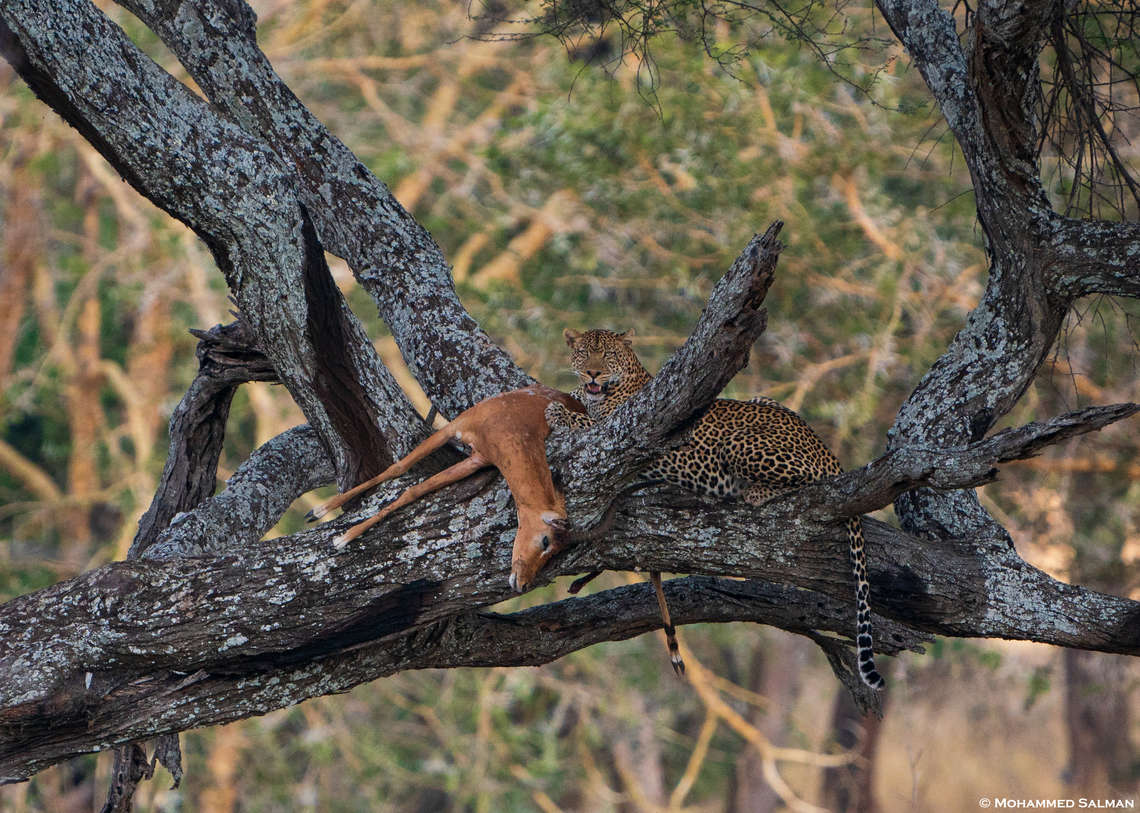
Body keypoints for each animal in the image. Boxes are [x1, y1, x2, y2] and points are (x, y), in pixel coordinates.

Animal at [546, 327, 885, 691]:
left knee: (810, 478)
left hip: (738, 443)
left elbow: (588, 424)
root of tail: (826, 450)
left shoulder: (627, 438)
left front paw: (558, 412)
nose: (593, 373)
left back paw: (754, 491)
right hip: (763, 402)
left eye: (608, 354)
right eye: (583, 353)